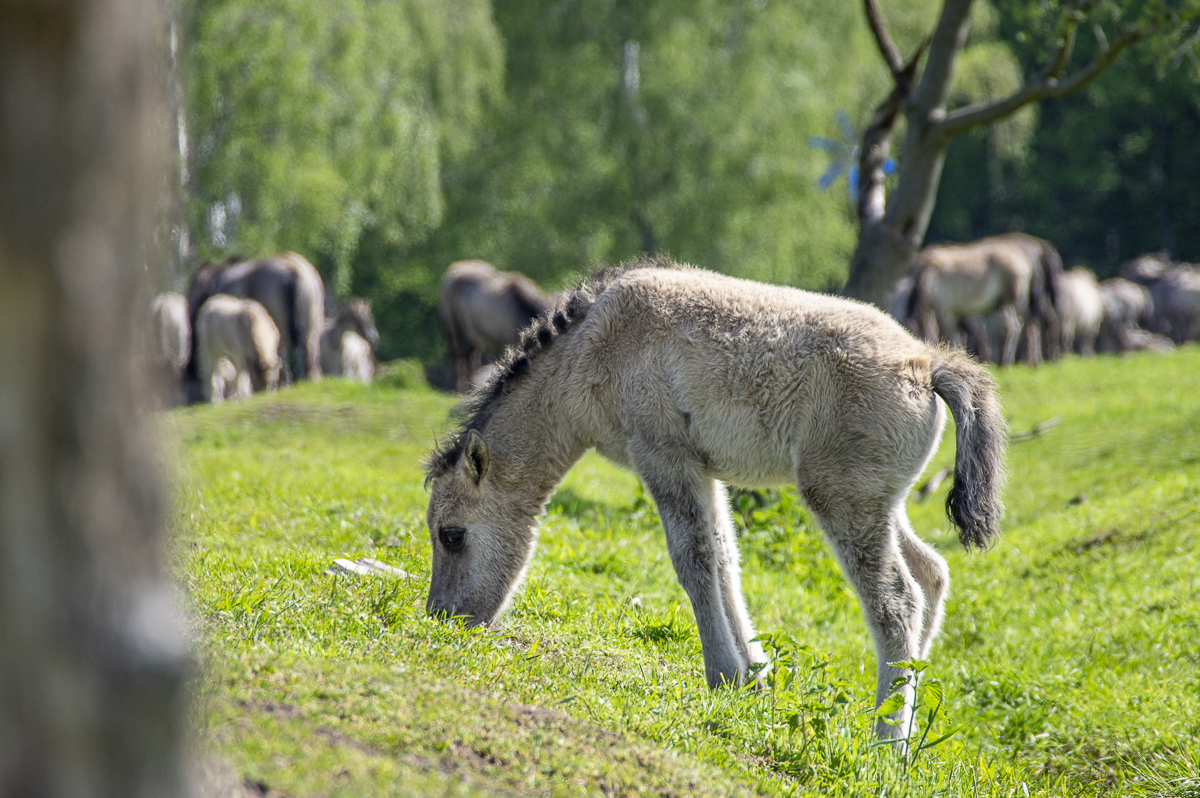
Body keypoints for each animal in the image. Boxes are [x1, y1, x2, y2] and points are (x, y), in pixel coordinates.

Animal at [427, 258, 1008, 739]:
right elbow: (725, 556)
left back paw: (885, 741)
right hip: (880, 502)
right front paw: (753, 676)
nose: (441, 618)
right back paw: (906, 728)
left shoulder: (663, 456)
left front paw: (723, 675)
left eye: (451, 536)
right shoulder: (705, 469)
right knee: (931, 573)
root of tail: (927, 366)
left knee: (897, 600)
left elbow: (695, 559)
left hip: (844, 499)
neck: (593, 347)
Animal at [907, 231, 1060, 364]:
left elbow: (950, 336)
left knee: (1029, 323)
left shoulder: (944, 310)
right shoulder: (942, 311)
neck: (927, 276)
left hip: (1017, 300)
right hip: (1007, 302)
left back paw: (1030, 361)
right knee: (1018, 325)